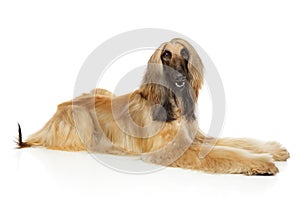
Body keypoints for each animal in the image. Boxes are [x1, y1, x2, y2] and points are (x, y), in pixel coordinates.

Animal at [15, 38, 288, 175]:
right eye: (165, 55)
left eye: (185, 53)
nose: (180, 79)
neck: (173, 105)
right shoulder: (169, 150)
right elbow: (224, 153)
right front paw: (262, 163)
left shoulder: (195, 138)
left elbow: (236, 142)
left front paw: (273, 150)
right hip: (79, 117)